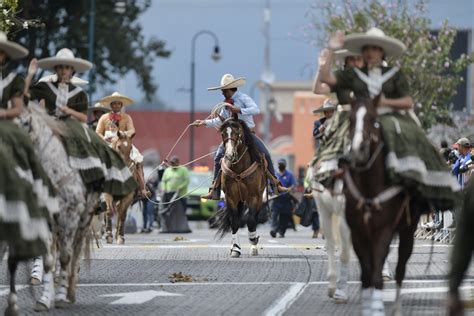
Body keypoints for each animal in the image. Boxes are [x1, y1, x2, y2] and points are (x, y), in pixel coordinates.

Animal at [18, 104, 99, 312]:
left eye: (27, 122)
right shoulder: (43, 218)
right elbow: (47, 257)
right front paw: (44, 298)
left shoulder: (69, 218)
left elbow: (65, 256)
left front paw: (61, 295)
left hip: (84, 219)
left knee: (75, 250)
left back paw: (70, 290)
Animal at [214, 117, 268, 258]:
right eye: (222, 133)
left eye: (237, 132)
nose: (229, 155)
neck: (239, 168)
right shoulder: (230, 198)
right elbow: (234, 222)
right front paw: (235, 248)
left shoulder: (254, 197)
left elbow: (251, 220)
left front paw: (253, 242)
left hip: (258, 198)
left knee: (254, 218)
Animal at [342, 97, 424, 314]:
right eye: (350, 119)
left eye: (373, 119)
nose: (358, 149)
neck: (369, 189)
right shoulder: (358, 233)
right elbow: (366, 275)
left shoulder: (383, 230)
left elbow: (377, 275)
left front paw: (377, 307)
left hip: (407, 231)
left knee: (401, 268)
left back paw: (396, 307)